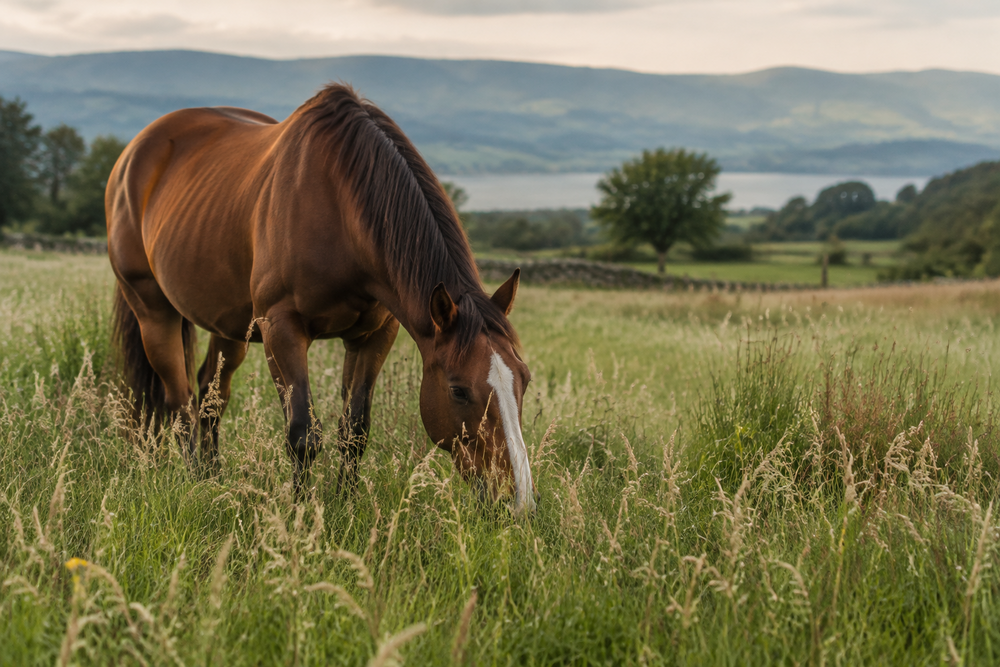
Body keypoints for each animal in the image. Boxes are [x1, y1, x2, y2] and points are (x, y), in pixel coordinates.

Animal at [105, 83, 536, 514]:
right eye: (458, 390)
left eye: (525, 379)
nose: (518, 502)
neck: (340, 207)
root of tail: (132, 155)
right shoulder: (281, 329)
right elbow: (302, 434)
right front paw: (300, 510)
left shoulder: (373, 336)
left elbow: (355, 430)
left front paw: (346, 503)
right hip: (153, 313)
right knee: (179, 402)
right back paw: (196, 479)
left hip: (229, 326)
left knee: (211, 397)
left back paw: (214, 479)